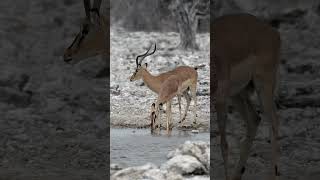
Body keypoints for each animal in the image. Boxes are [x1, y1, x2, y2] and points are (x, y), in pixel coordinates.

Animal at [212, 14, 280, 180]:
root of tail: (273, 32)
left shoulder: (221, 100)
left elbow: (224, 145)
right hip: (237, 94)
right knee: (254, 119)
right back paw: (237, 174)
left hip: (263, 87)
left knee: (273, 121)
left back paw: (272, 174)